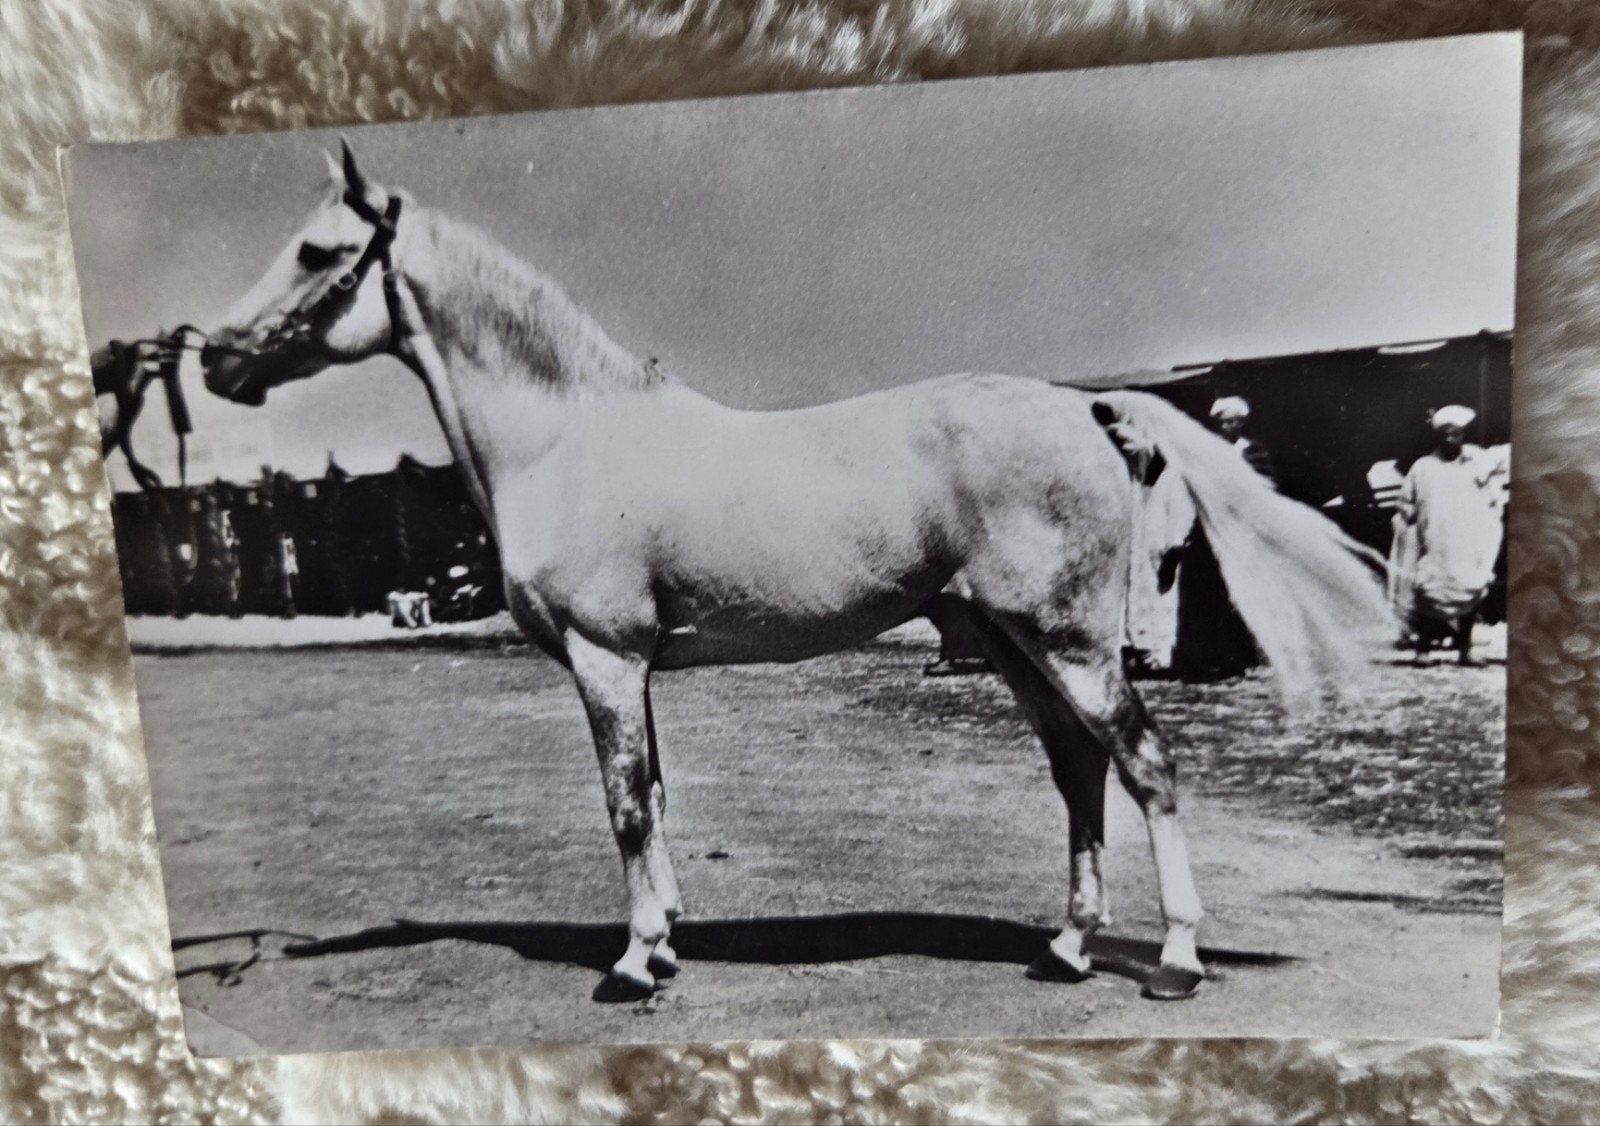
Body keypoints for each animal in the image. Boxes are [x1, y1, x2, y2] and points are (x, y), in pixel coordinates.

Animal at [197, 142, 1391, 1004]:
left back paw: (1177, 961)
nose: (215, 360)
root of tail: (1089, 408)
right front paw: (664, 944)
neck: (568, 438)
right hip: (1012, 643)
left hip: (1073, 642)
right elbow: (656, 796)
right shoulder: (631, 668)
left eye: (315, 253)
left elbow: (625, 804)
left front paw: (631, 966)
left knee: (1144, 764)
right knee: (1078, 771)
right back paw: (1065, 949)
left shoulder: (604, 658)